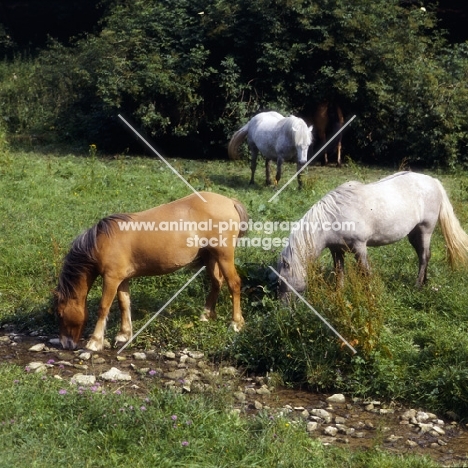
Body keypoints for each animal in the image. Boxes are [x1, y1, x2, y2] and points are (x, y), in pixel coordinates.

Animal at [55, 191, 249, 352]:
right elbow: (124, 303)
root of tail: (230, 201)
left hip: (224, 255)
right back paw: (206, 315)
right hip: (210, 257)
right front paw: (124, 334)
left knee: (234, 284)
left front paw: (95, 342)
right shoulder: (122, 279)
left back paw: (236, 323)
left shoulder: (111, 278)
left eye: (60, 314)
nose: (66, 344)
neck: (101, 243)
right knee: (216, 283)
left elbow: (104, 307)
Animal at [278, 172, 468, 296]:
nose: (284, 310)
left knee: (424, 256)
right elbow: (339, 271)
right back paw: (424, 282)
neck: (333, 217)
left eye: (283, 282)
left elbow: (364, 272)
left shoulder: (359, 247)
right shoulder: (336, 250)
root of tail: (433, 181)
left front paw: (369, 294)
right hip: (413, 234)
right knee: (424, 255)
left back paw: (417, 285)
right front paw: (339, 292)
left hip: (425, 230)